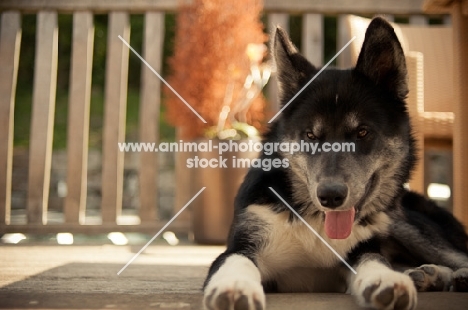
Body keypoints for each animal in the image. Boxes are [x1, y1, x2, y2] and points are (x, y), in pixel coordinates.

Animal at [203, 17, 468, 310]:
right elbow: (237, 262)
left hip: (406, 224)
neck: (315, 219)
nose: (330, 196)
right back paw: (430, 276)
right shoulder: (240, 247)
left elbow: (375, 260)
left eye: (362, 132)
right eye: (310, 135)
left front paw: (386, 281)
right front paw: (234, 287)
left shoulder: (362, 249)